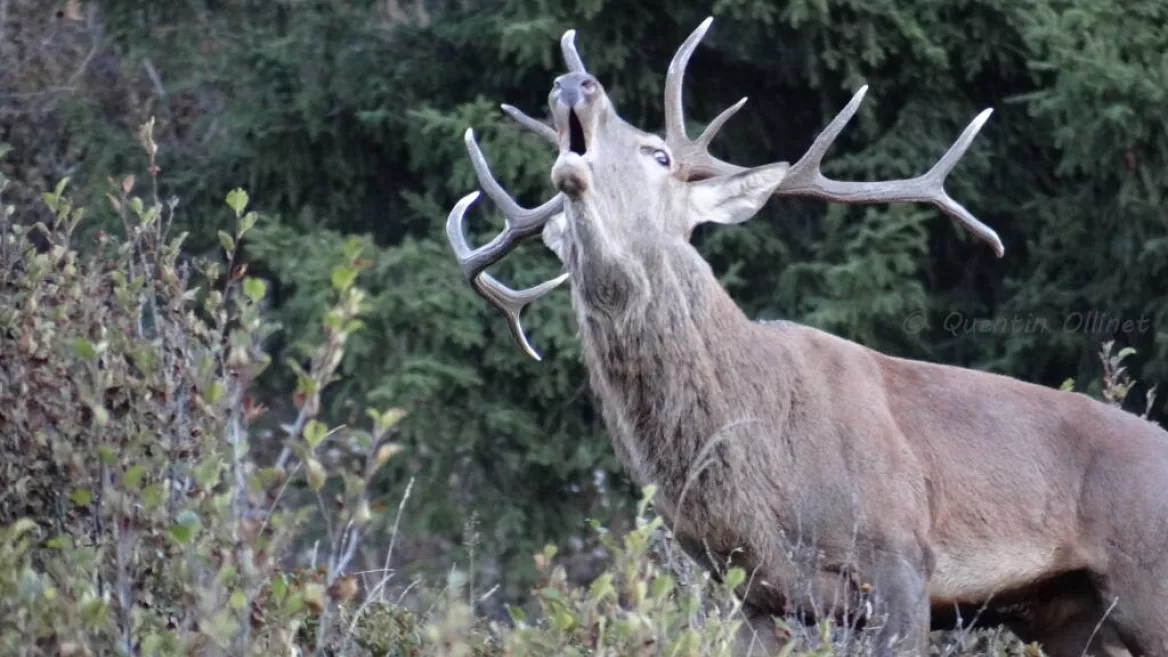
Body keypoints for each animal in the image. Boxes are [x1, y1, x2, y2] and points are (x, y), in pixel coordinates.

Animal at [443, 17, 1168, 657]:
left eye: (659, 152)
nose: (574, 83)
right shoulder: (753, 591)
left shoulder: (903, 557)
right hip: (1065, 611)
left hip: (1145, 579)